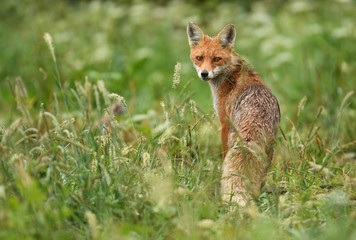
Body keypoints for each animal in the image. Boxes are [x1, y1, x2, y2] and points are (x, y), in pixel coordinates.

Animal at [186, 22, 280, 205]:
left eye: (217, 59)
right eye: (199, 58)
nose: (204, 74)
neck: (231, 73)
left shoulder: (224, 123)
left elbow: (223, 157)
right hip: (271, 148)